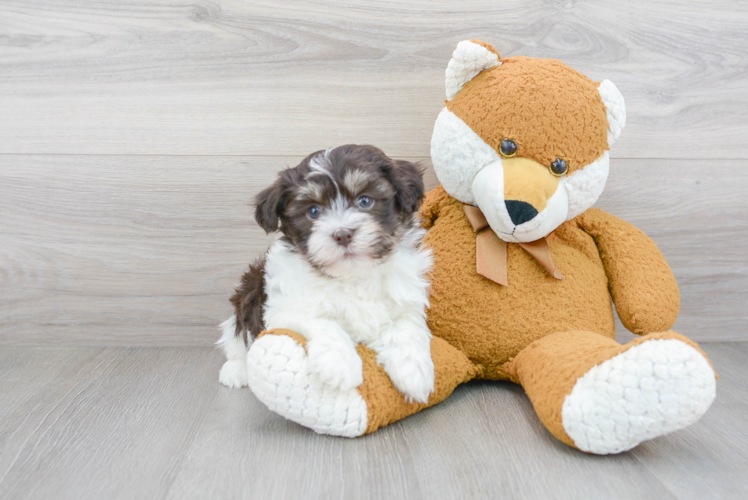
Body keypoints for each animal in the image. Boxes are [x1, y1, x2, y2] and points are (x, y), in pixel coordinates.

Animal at [216, 144, 436, 402]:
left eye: (364, 200)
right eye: (313, 211)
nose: (342, 234)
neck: (352, 275)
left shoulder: (405, 301)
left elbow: (407, 328)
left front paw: (415, 372)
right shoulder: (284, 309)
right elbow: (322, 322)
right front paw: (341, 365)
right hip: (249, 292)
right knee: (238, 336)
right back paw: (236, 370)